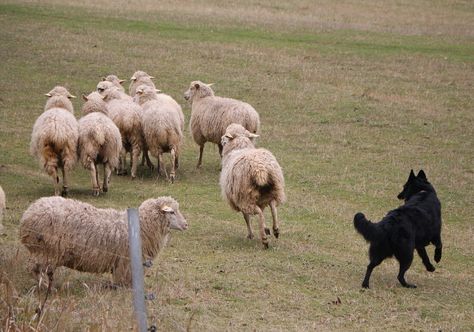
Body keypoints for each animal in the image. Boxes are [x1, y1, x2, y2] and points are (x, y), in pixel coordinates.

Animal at [19, 196, 187, 286]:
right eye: (172, 212)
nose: (186, 224)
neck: (142, 225)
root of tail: (28, 214)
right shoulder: (125, 262)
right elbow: (124, 280)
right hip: (44, 251)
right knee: (35, 269)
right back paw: (45, 286)